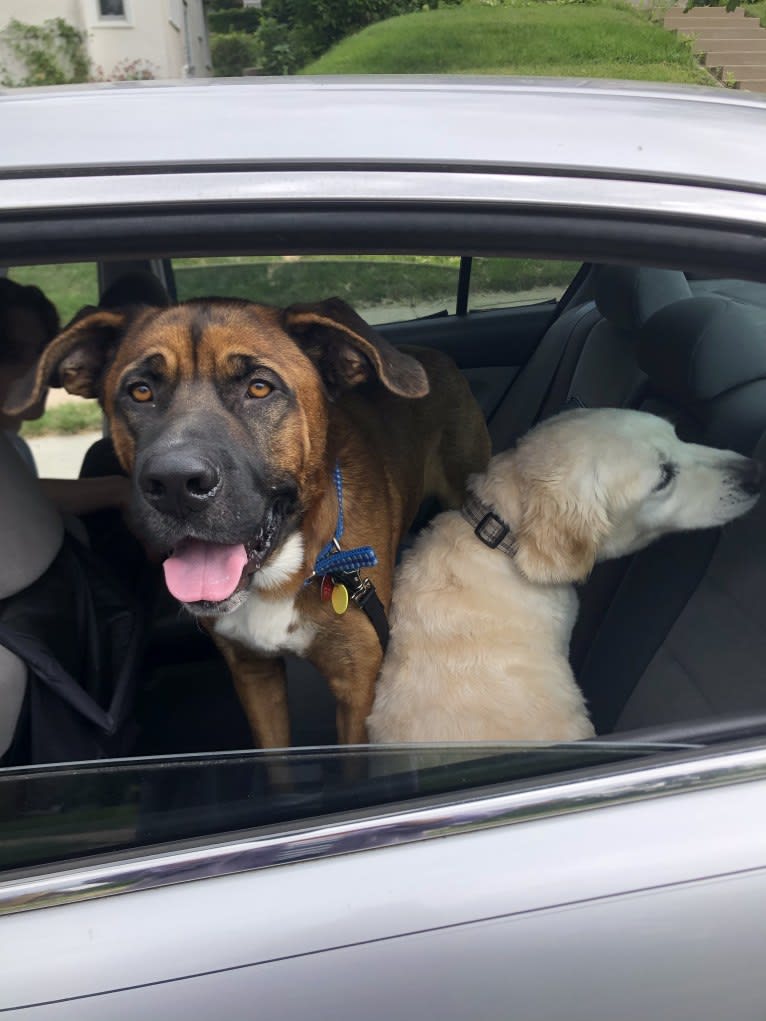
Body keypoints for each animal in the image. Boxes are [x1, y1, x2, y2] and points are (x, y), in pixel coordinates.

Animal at [12, 296, 488, 751]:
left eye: (259, 387)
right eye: (140, 391)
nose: (175, 484)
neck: (280, 570)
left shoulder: (357, 687)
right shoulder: (253, 676)